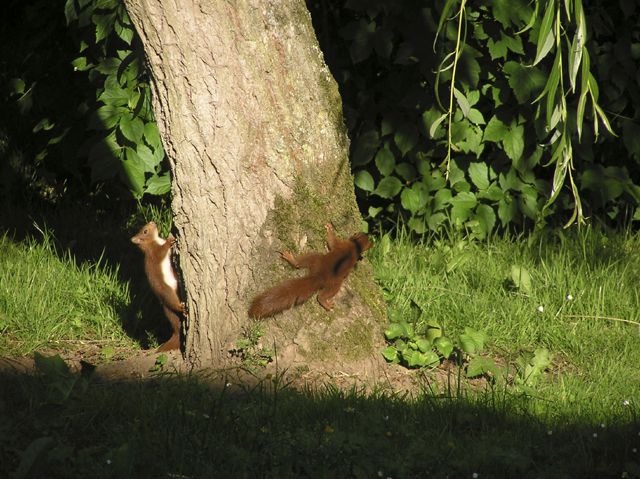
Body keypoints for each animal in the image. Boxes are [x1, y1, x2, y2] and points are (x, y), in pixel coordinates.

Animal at [130, 221, 185, 352]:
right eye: (145, 231)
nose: (152, 222)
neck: (155, 241)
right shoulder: (154, 253)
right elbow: (162, 251)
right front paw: (169, 241)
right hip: (168, 292)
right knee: (174, 304)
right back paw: (181, 307)